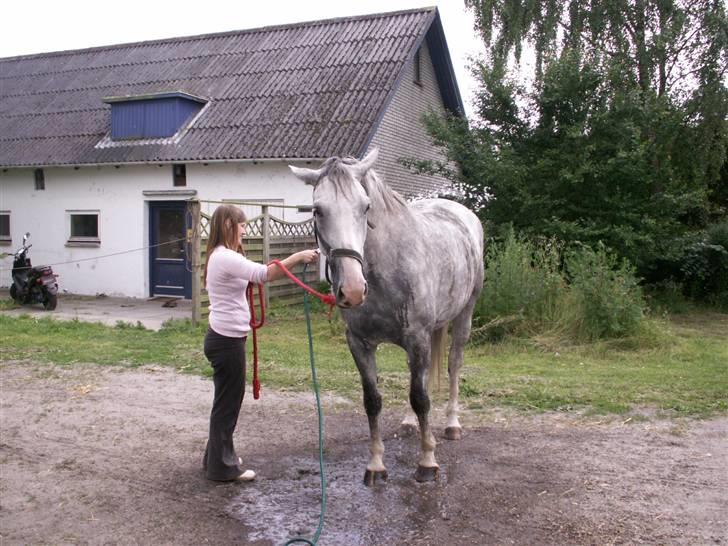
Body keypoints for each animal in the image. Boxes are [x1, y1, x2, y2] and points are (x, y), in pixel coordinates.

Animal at [290, 149, 484, 484]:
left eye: (365, 206)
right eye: (318, 211)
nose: (353, 290)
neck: (387, 268)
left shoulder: (417, 338)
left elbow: (421, 399)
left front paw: (427, 462)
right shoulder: (360, 343)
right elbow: (374, 400)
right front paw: (376, 465)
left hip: (464, 315)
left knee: (453, 365)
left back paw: (452, 424)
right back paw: (408, 423)